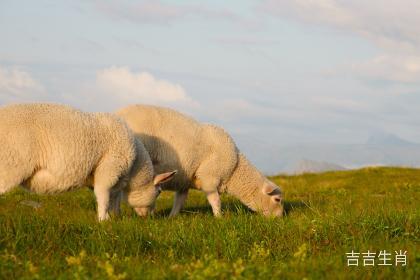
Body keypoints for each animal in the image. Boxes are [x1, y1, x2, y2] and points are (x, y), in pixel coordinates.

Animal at [0, 103, 176, 221]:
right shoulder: (108, 169)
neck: (135, 168)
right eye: (159, 192)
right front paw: (104, 220)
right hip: (10, 164)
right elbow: (103, 196)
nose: (151, 217)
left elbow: (113, 198)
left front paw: (115, 216)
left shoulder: (112, 178)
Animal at [116, 104, 284, 217]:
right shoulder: (209, 177)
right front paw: (219, 218)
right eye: (277, 200)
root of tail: (117, 113)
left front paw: (172, 218)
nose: (280, 218)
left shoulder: (184, 180)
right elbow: (215, 200)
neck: (234, 170)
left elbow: (179, 201)